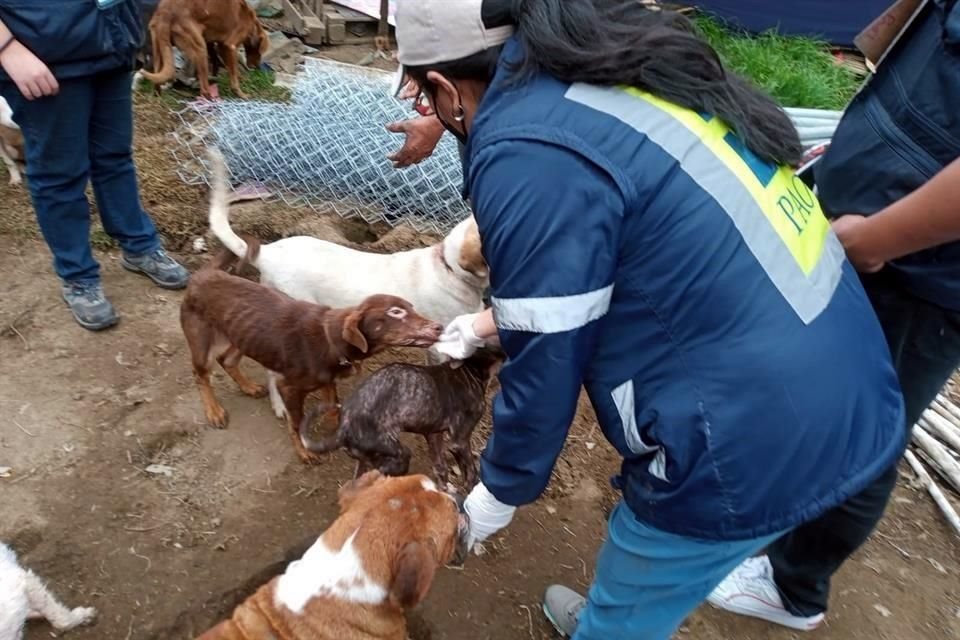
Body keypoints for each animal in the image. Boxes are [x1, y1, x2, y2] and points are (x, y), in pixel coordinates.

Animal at [139, 0, 268, 98]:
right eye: (260, 52)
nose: (257, 68)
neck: (251, 20)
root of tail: (164, 13)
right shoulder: (229, 46)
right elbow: (233, 73)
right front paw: (241, 93)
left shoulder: (214, 43)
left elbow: (220, 64)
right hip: (200, 49)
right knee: (204, 89)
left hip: (158, 50)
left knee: (156, 81)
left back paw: (157, 95)